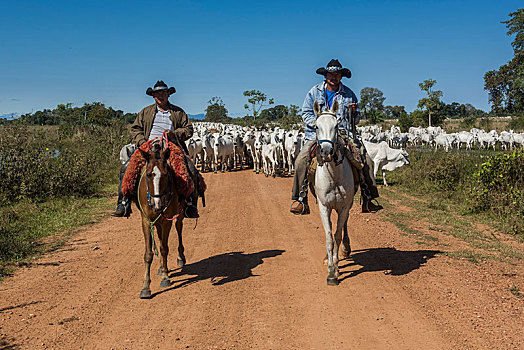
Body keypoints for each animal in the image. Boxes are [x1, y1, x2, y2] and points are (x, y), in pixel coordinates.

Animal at [136, 142, 185, 298]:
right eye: (148, 174)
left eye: (165, 174)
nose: (157, 204)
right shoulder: (146, 221)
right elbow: (148, 254)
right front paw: (145, 287)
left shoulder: (166, 221)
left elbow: (164, 249)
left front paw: (165, 278)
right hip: (156, 222)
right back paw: (161, 267)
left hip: (178, 215)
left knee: (179, 228)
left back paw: (180, 258)